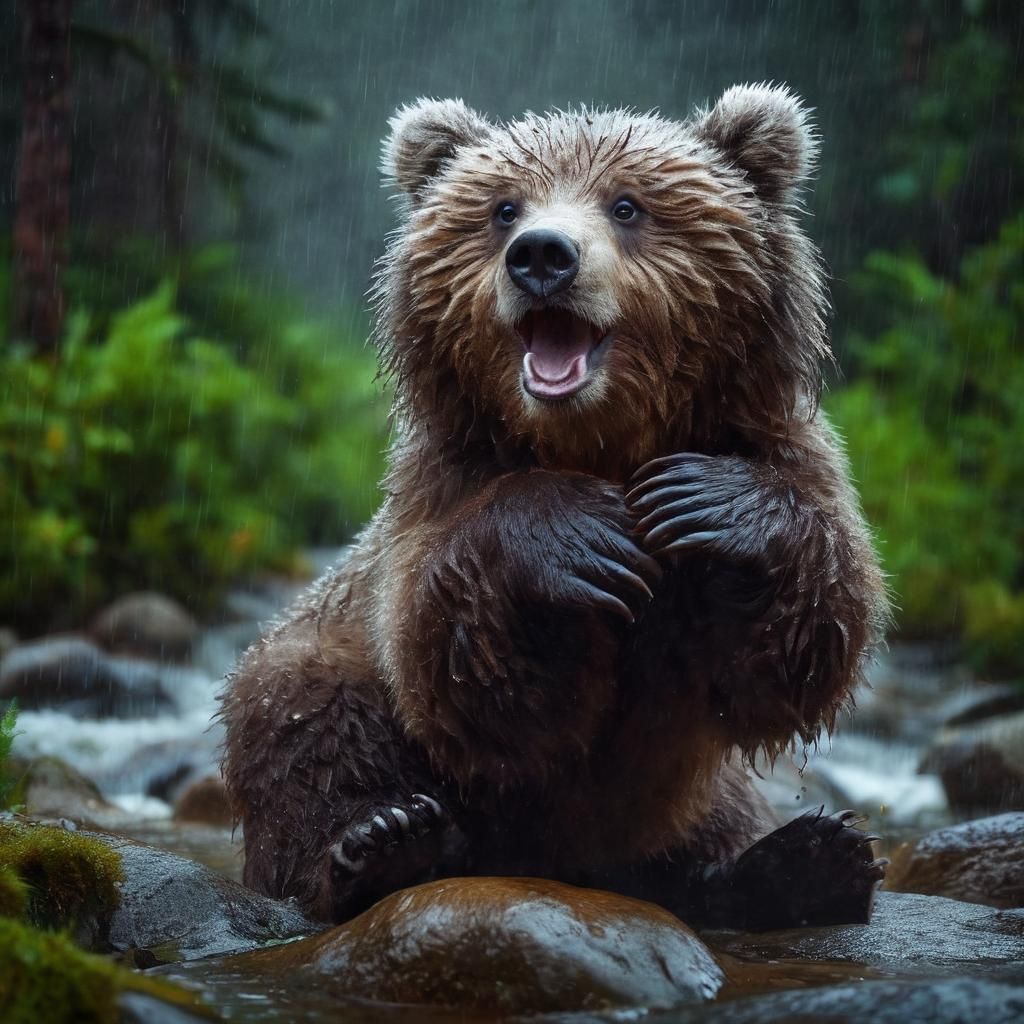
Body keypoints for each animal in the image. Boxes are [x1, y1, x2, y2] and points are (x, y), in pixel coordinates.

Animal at [221, 84, 890, 931]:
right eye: (503, 207)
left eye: (628, 205)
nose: (541, 255)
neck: (597, 440)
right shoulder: (440, 485)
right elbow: (455, 663)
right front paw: (578, 533)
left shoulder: (782, 445)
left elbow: (804, 641)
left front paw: (701, 502)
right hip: (322, 665)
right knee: (298, 714)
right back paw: (382, 843)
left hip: (690, 793)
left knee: (720, 818)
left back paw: (799, 863)